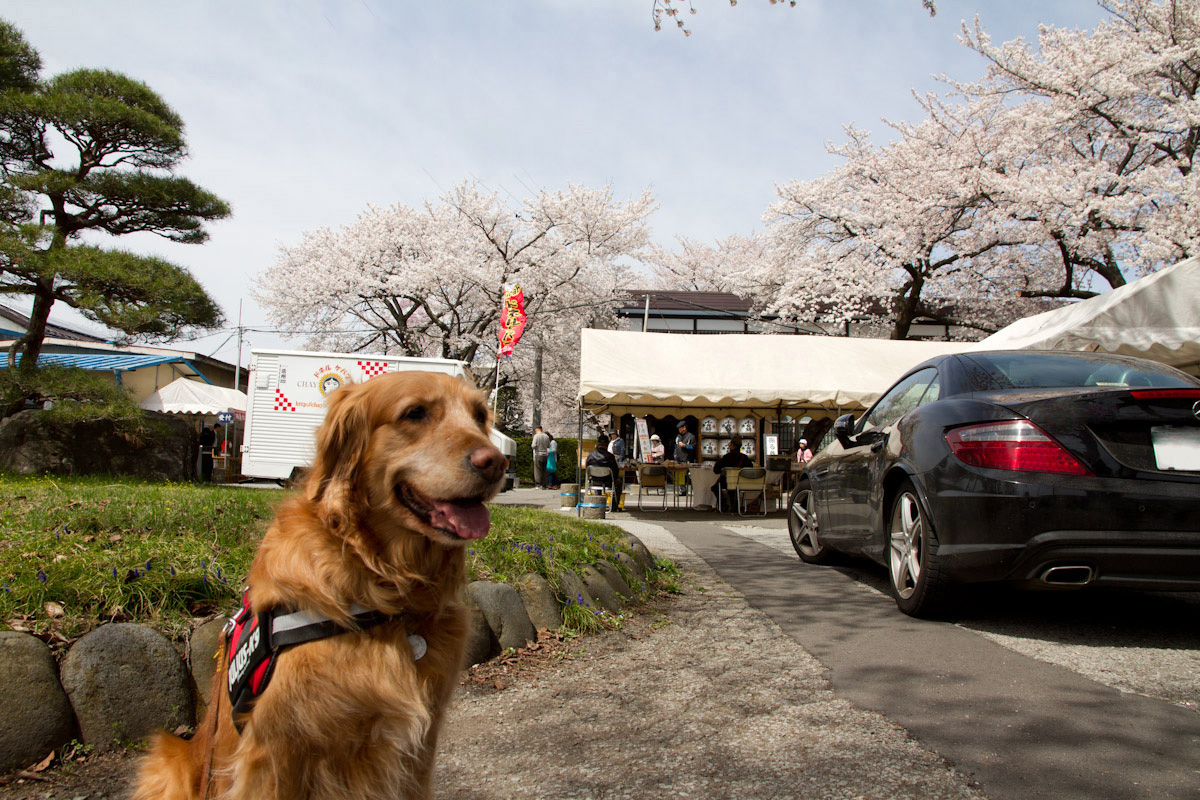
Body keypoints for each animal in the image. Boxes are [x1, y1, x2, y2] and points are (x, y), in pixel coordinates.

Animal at [132, 371, 506, 796]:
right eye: (415, 413)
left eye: (480, 417)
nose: (497, 462)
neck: (387, 594)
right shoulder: (275, 753)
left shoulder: (419, 750)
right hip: (167, 761)